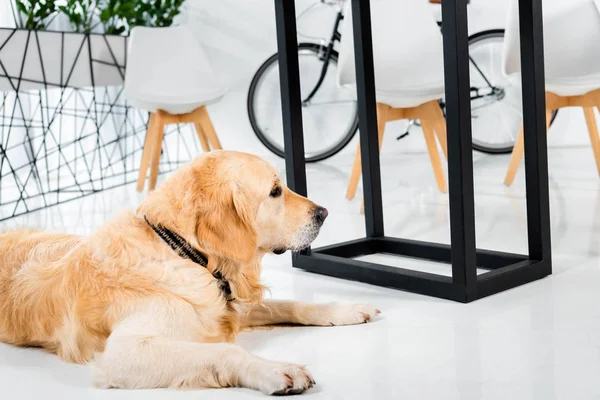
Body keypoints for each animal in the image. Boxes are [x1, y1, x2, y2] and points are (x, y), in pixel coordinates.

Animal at [0, 150, 380, 394]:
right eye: (274, 191)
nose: (324, 212)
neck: (183, 251)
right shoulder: (123, 352)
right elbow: (225, 351)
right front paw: (275, 370)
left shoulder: (224, 303)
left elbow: (292, 304)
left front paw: (346, 309)